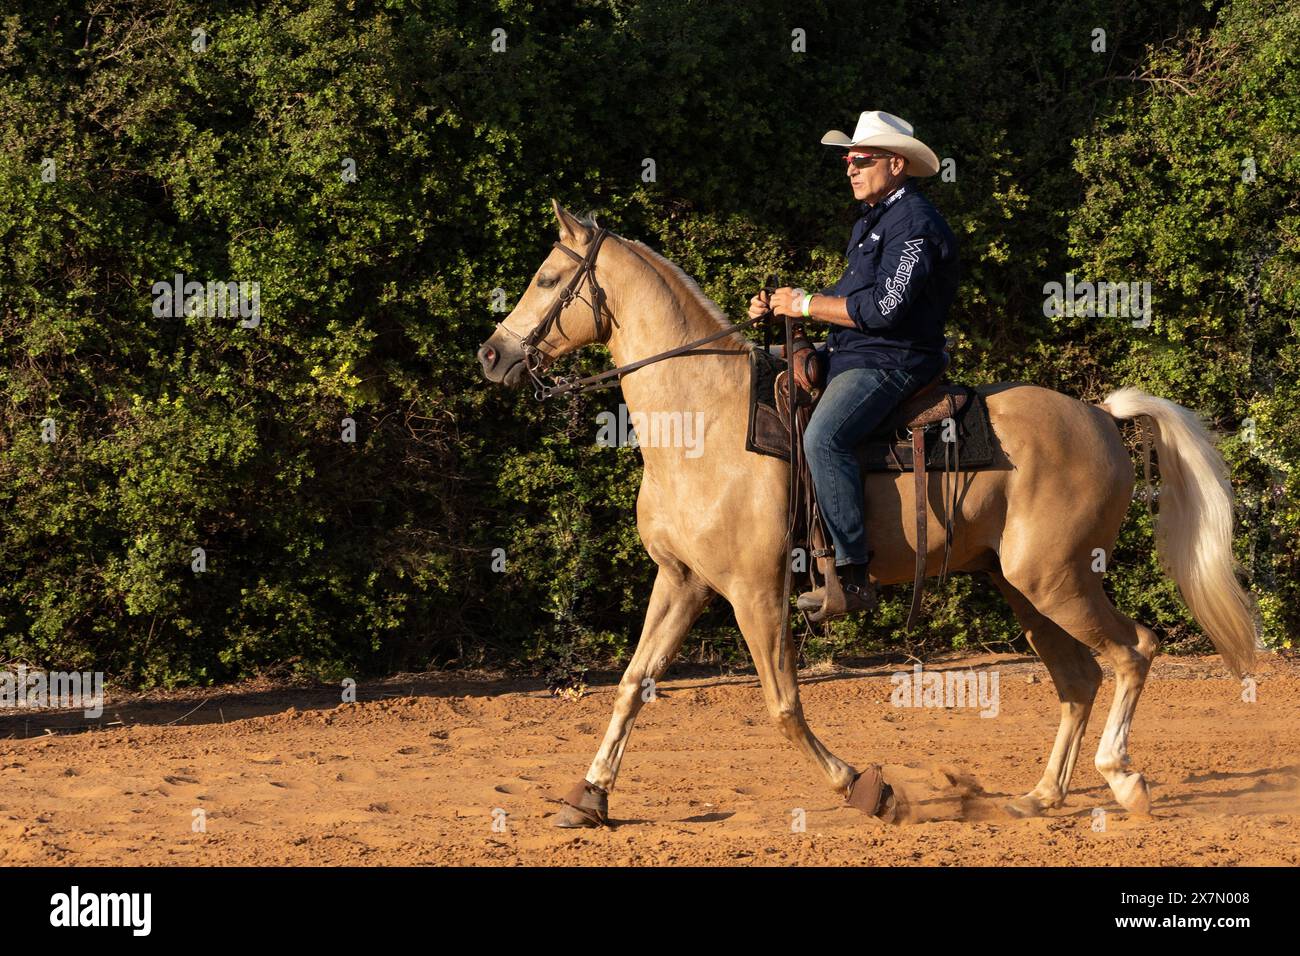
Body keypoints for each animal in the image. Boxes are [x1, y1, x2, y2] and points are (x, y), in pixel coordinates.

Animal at [475, 201, 1258, 832]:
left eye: (547, 278)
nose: (491, 355)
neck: (705, 420)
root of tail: (1099, 415)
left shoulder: (756, 592)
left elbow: (783, 705)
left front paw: (865, 789)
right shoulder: (682, 581)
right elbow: (633, 685)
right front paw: (588, 798)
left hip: (1059, 579)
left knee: (1134, 651)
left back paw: (1123, 781)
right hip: (1023, 586)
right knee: (1079, 679)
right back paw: (1040, 796)